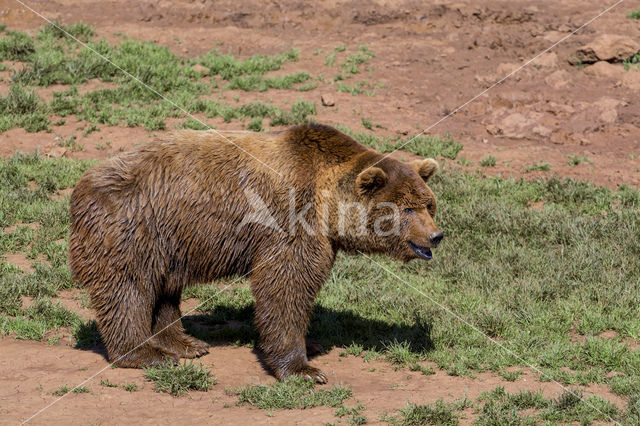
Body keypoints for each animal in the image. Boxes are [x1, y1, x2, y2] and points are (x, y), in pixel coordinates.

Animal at [69, 122, 440, 382]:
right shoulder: (292, 223)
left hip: (170, 241)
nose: (436, 236)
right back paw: (146, 353)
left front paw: (311, 344)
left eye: (428, 204)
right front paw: (304, 370)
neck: (328, 206)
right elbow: (285, 286)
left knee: (164, 290)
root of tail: (80, 186)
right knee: (128, 289)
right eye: (406, 209)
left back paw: (185, 344)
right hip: (134, 225)